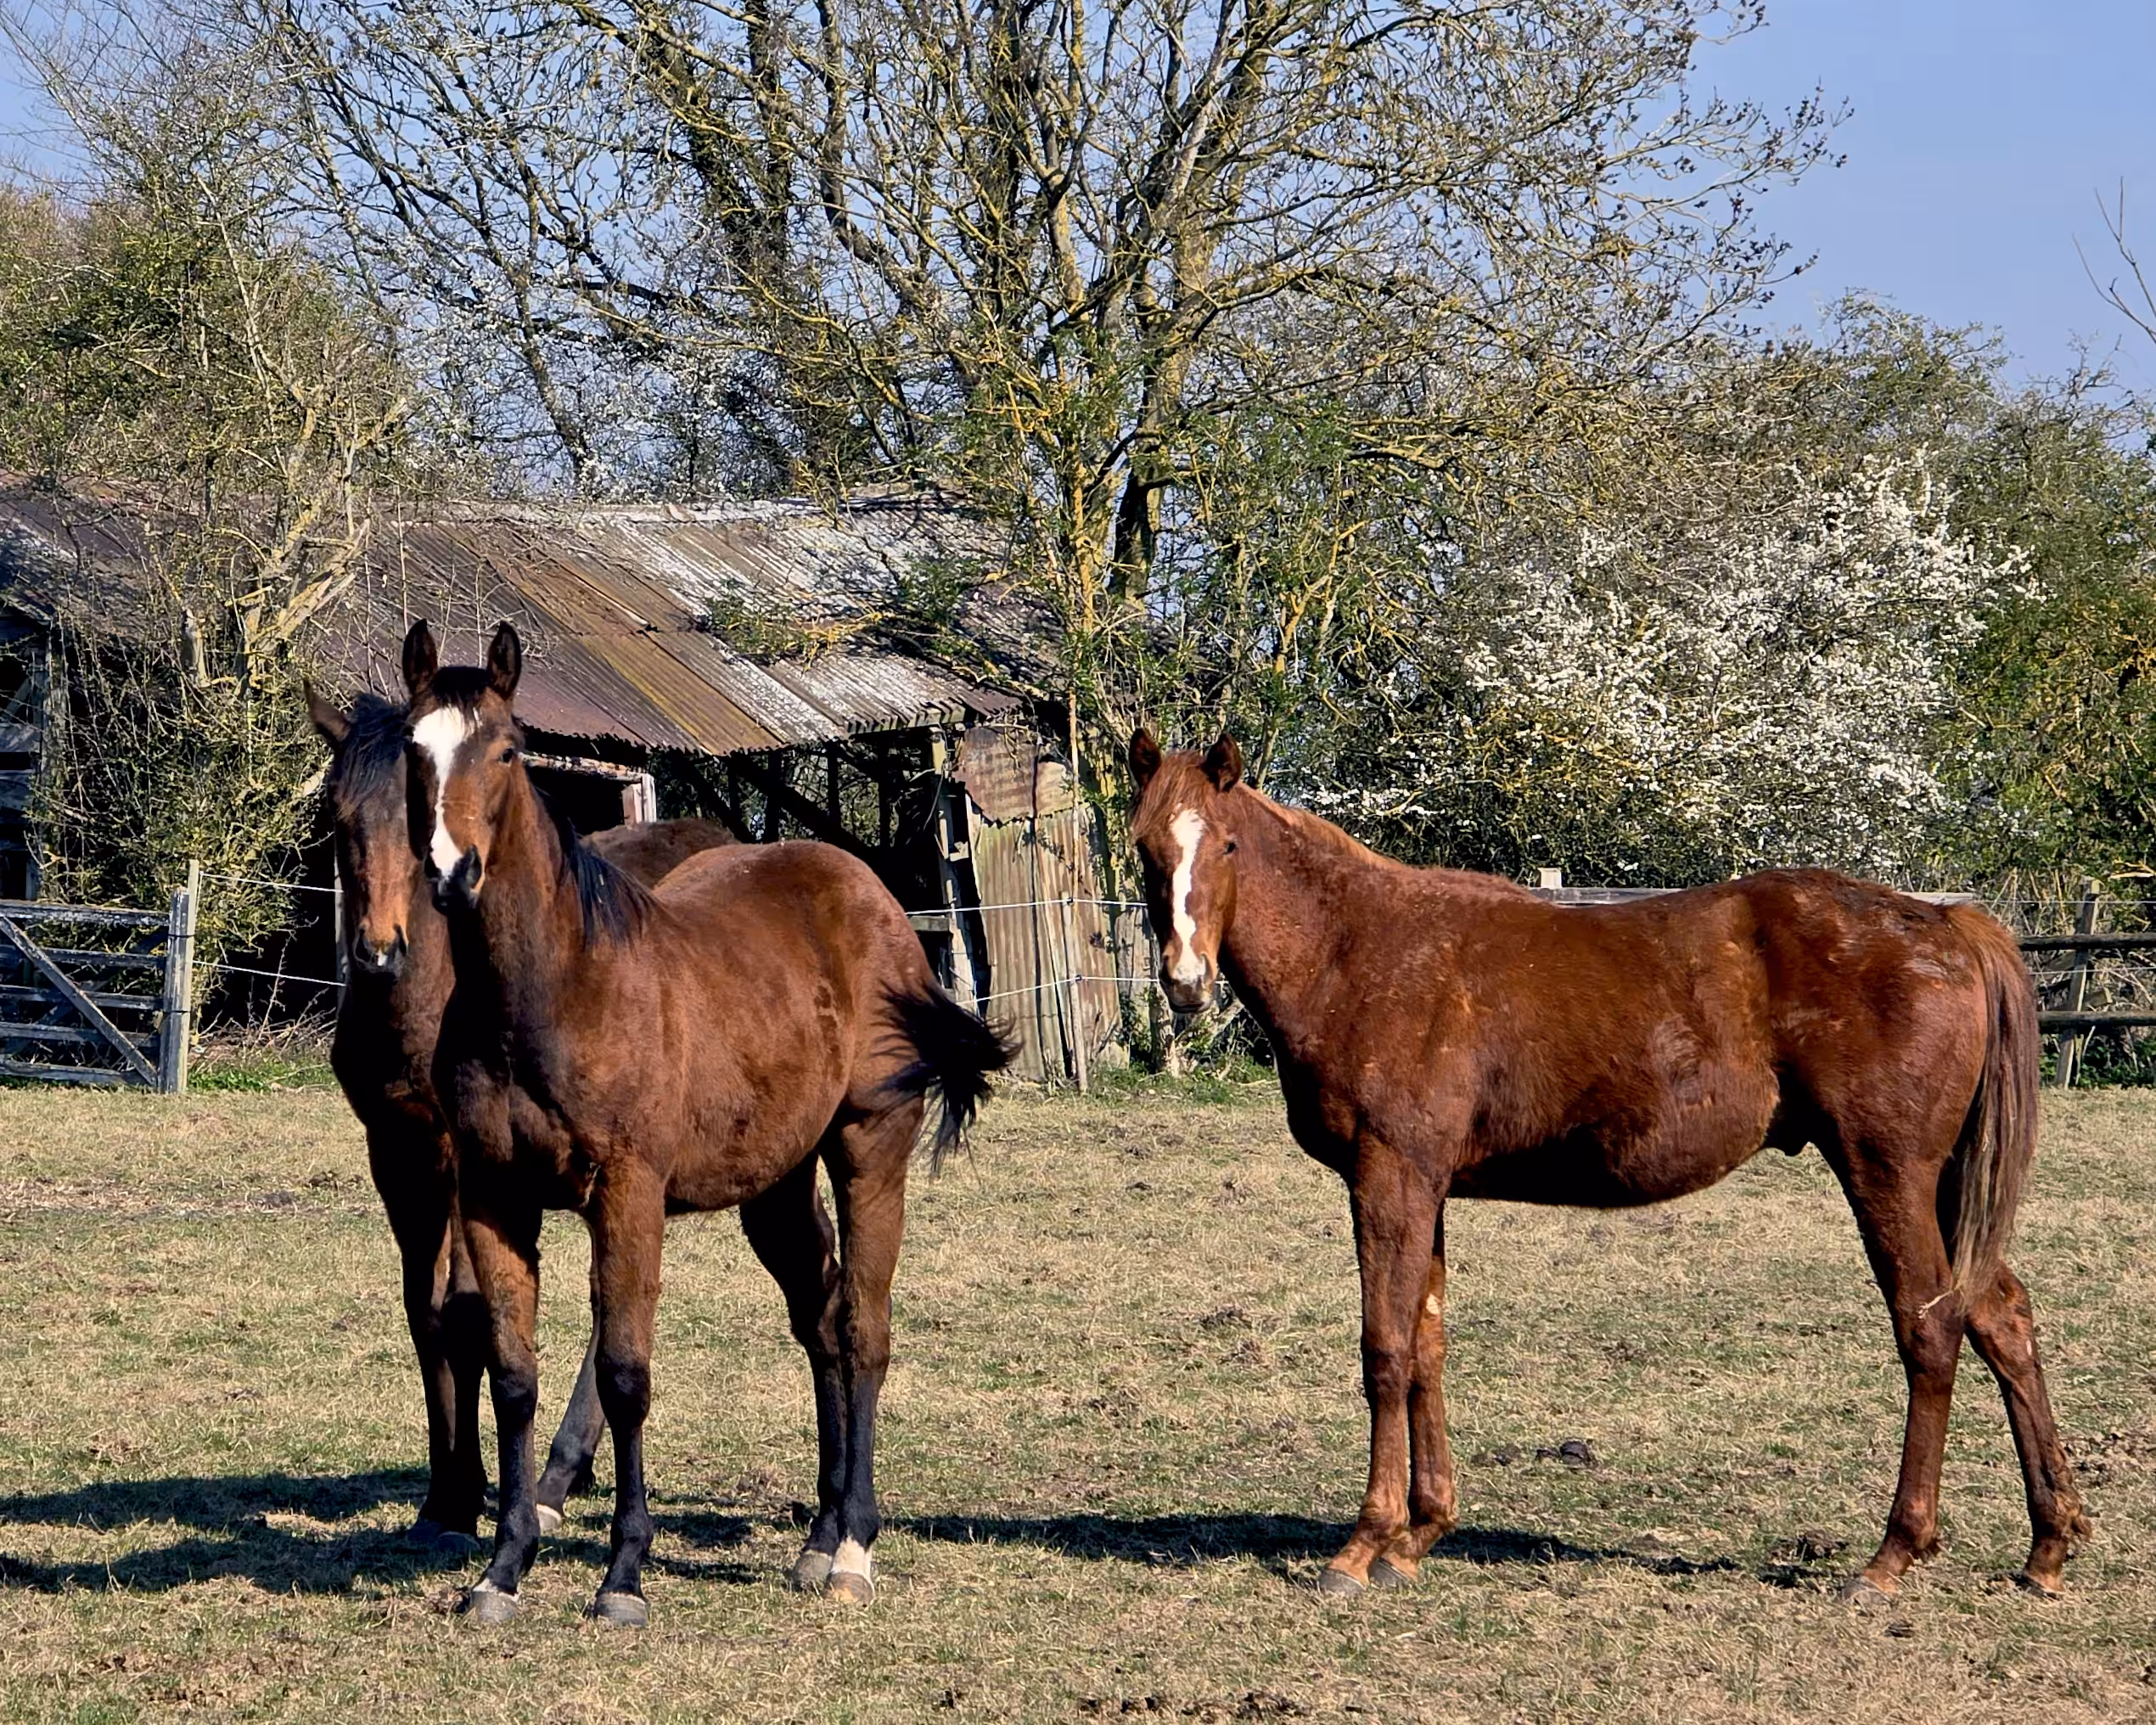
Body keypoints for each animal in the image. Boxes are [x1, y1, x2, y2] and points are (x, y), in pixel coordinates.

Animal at [308, 685, 735, 1546]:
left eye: (418, 813)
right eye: (336, 816)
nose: (378, 952)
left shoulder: (464, 1157)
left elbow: (468, 1314)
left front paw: (471, 1496)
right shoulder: (396, 1151)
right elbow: (424, 1314)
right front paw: (444, 1495)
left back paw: (557, 1473)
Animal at [401, 620, 1016, 1625]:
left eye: (506, 751)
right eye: (414, 749)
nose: (452, 875)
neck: (553, 989)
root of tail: (875, 900)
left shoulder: (626, 1195)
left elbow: (624, 1377)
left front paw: (622, 1578)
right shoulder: (494, 1197)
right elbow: (514, 1376)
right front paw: (503, 1569)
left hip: (868, 1147)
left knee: (862, 1326)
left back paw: (853, 1547)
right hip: (774, 1185)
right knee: (820, 1319)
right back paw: (817, 1539)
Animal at [1126, 729, 2088, 1602]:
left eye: (1226, 843)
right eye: (1144, 846)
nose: (1184, 982)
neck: (1359, 950)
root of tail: (1947, 923)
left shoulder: (1387, 1177)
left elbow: (1386, 1350)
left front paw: (1364, 1545)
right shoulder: (1426, 1187)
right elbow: (1429, 1344)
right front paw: (1419, 1534)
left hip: (1886, 1173)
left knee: (1930, 1327)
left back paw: (1892, 1555)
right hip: (1944, 1183)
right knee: (2000, 1316)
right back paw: (2046, 1545)